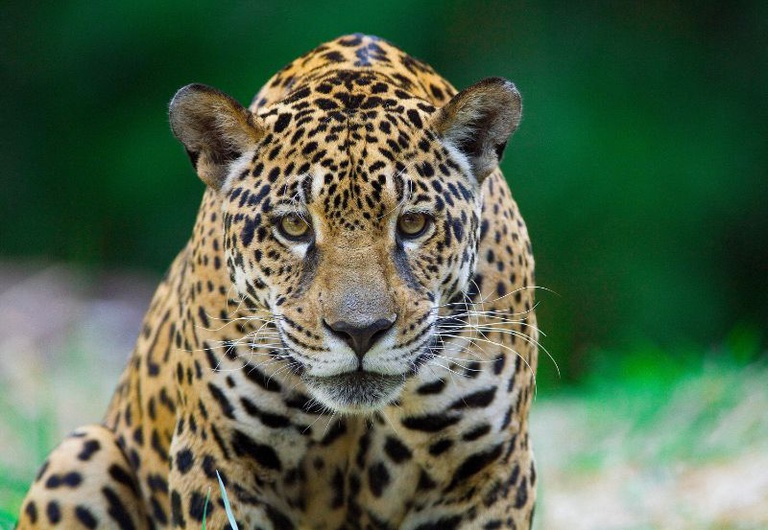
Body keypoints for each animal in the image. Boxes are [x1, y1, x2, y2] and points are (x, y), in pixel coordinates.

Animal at [17, 34, 539, 529]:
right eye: (294, 226)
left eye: (413, 224)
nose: (360, 332)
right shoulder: (216, 459)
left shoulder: (491, 469)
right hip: (81, 453)